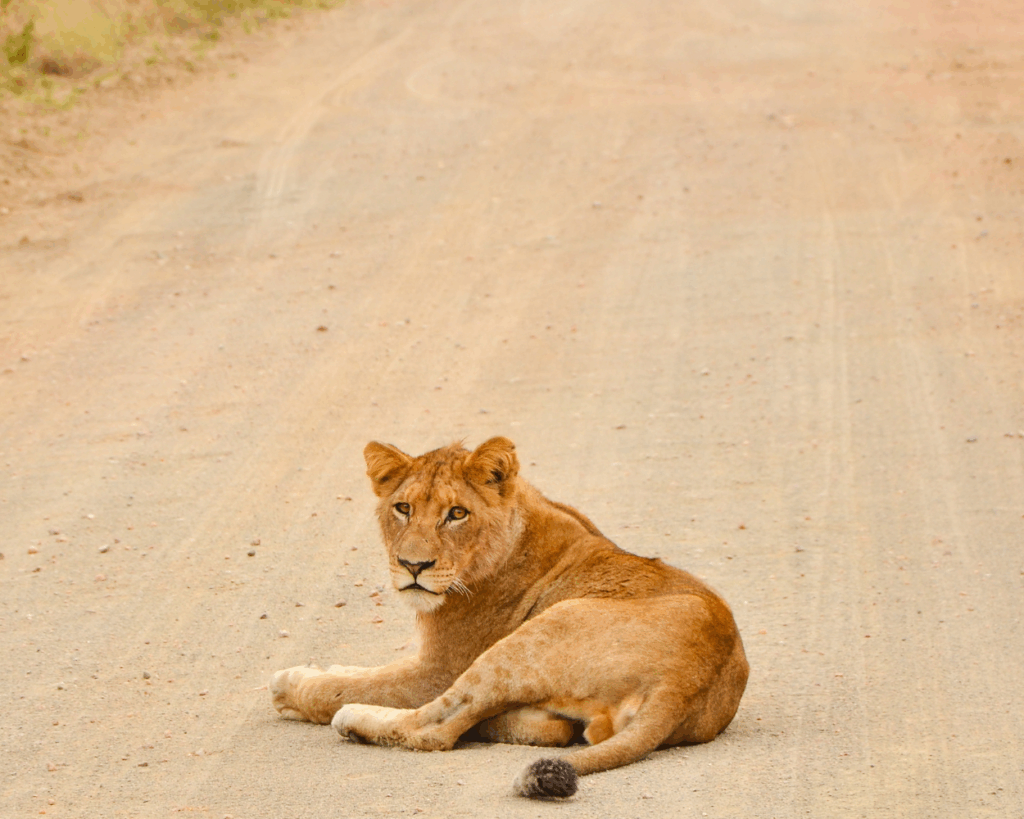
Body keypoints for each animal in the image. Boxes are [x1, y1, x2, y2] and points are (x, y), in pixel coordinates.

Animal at [270, 437, 748, 798]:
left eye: (456, 513)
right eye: (403, 508)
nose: (412, 566)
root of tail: (684, 682)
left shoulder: (439, 669)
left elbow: (344, 688)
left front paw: (292, 686)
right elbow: (363, 671)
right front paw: (322, 668)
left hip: (537, 633)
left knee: (435, 727)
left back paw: (353, 720)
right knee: (553, 730)